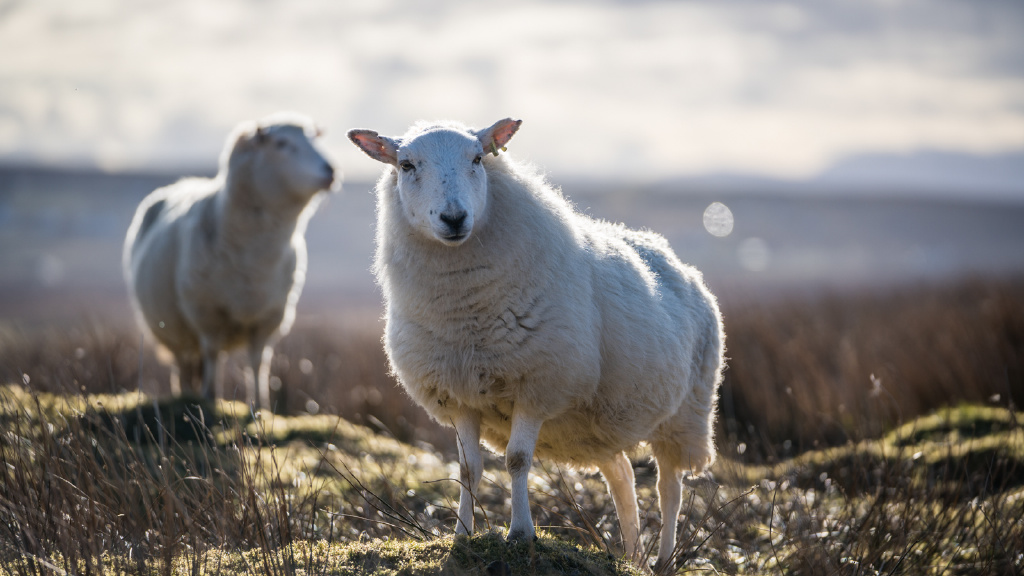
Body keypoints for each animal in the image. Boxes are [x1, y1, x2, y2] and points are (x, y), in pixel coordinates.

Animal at [124, 112, 335, 407]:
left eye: (314, 139)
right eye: (281, 143)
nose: (331, 170)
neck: (256, 256)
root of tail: (182, 183)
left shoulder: (269, 317)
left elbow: (258, 362)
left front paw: (260, 405)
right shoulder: (207, 314)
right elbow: (213, 355)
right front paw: (210, 399)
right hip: (172, 328)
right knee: (185, 362)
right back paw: (187, 395)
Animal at [352, 117, 729, 569]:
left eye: (477, 158)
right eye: (406, 165)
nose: (454, 217)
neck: (465, 314)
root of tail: (682, 266)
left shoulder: (537, 382)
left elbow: (516, 460)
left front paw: (520, 534)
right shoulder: (457, 393)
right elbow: (467, 469)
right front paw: (462, 536)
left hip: (685, 414)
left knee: (669, 487)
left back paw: (663, 560)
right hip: (596, 426)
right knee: (621, 476)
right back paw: (631, 555)